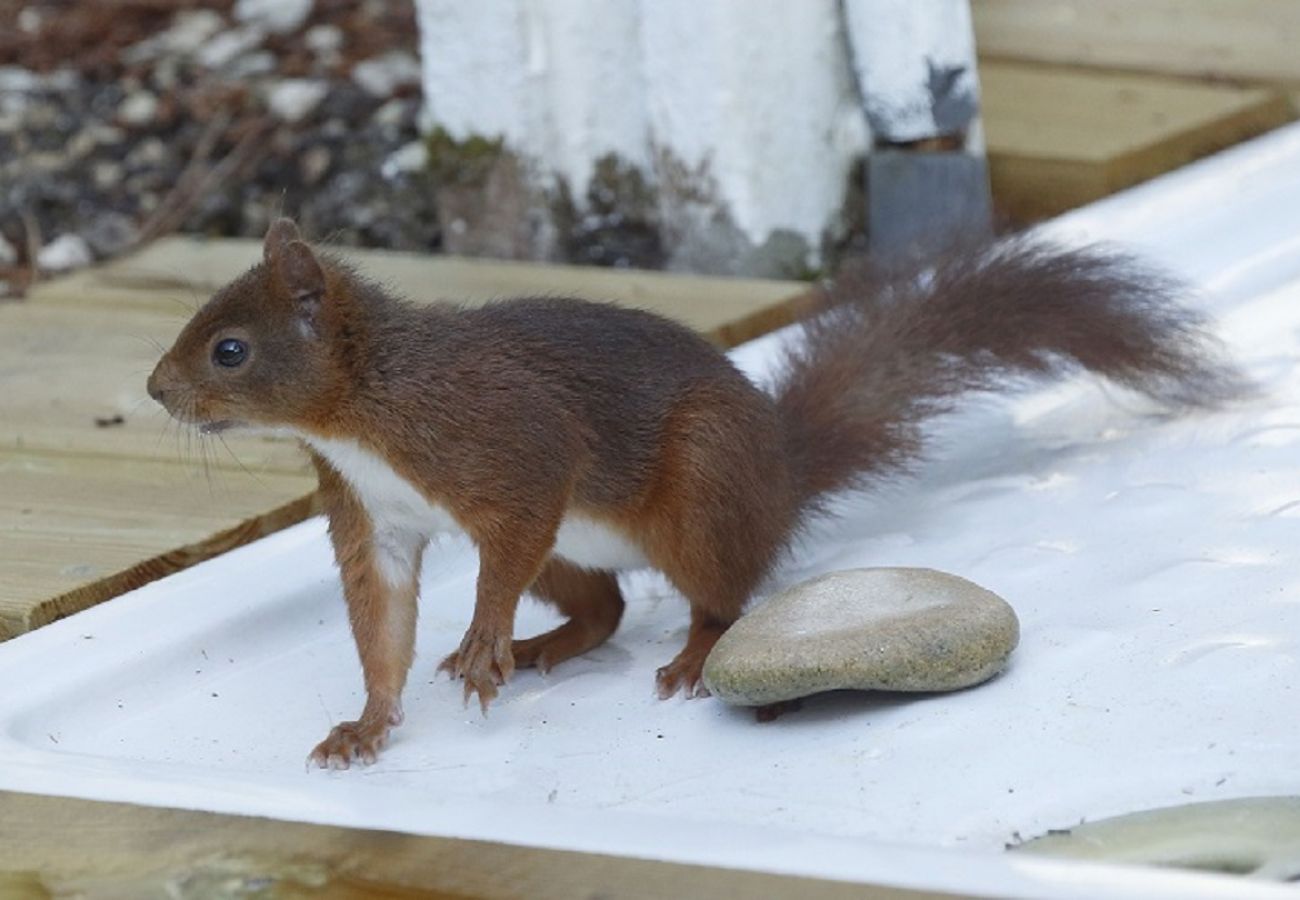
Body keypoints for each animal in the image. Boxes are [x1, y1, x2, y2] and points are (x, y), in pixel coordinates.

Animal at [147, 219, 1232, 764]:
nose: (156, 390)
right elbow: (382, 624)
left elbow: (514, 523)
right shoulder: (374, 516)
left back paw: (686, 653)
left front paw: (484, 636)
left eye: (229, 348)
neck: (360, 408)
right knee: (606, 608)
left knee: (720, 595)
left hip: (702, 490)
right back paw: (546, 647)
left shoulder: (506, 438)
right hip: (577, 550)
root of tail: (779, 479)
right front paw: (369, 723)